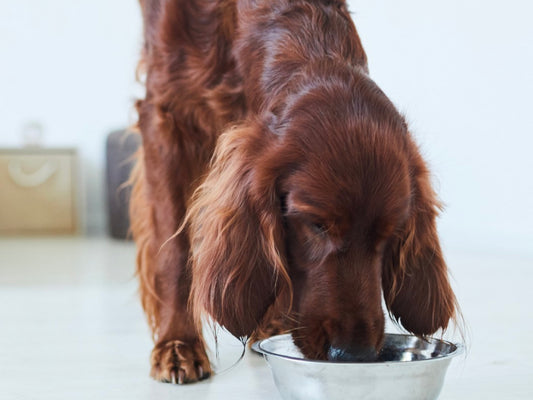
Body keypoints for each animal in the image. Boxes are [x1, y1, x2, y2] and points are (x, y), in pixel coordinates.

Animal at [130, 0, 458, 382]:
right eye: (317, 225)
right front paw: (177, 343)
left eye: (390, 233)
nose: (353, 354)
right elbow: (173, 250)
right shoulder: (166, 114)